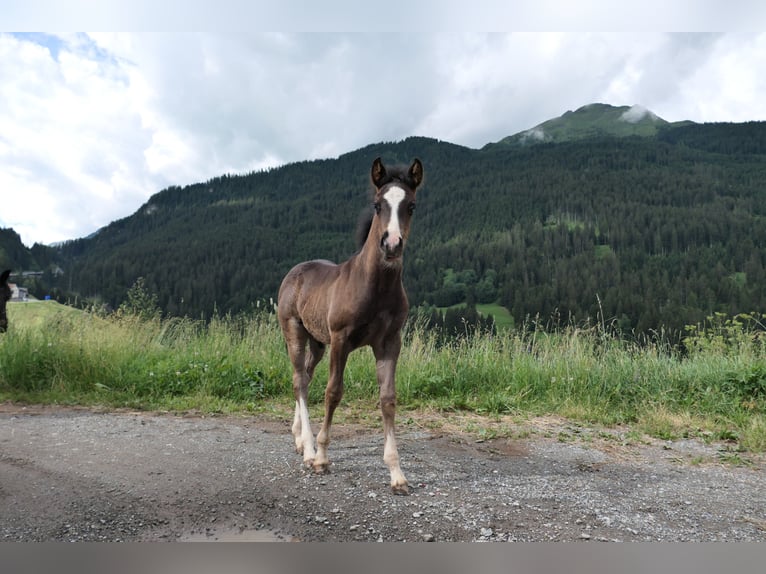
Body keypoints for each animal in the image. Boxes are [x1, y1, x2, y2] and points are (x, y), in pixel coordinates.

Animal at [278, 156, 426, 496]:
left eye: (411, 206)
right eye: (377, 204)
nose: (391, 245)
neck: (375, 287)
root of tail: (294, 272)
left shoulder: (389, 342)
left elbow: (388, 399)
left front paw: (397, 474)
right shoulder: (341, 339)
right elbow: (333, 392)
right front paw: (321, 457)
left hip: (318, 342)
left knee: (304, 376)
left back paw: (298, 438)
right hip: (294, 332)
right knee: (299, 380)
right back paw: (308, 450)